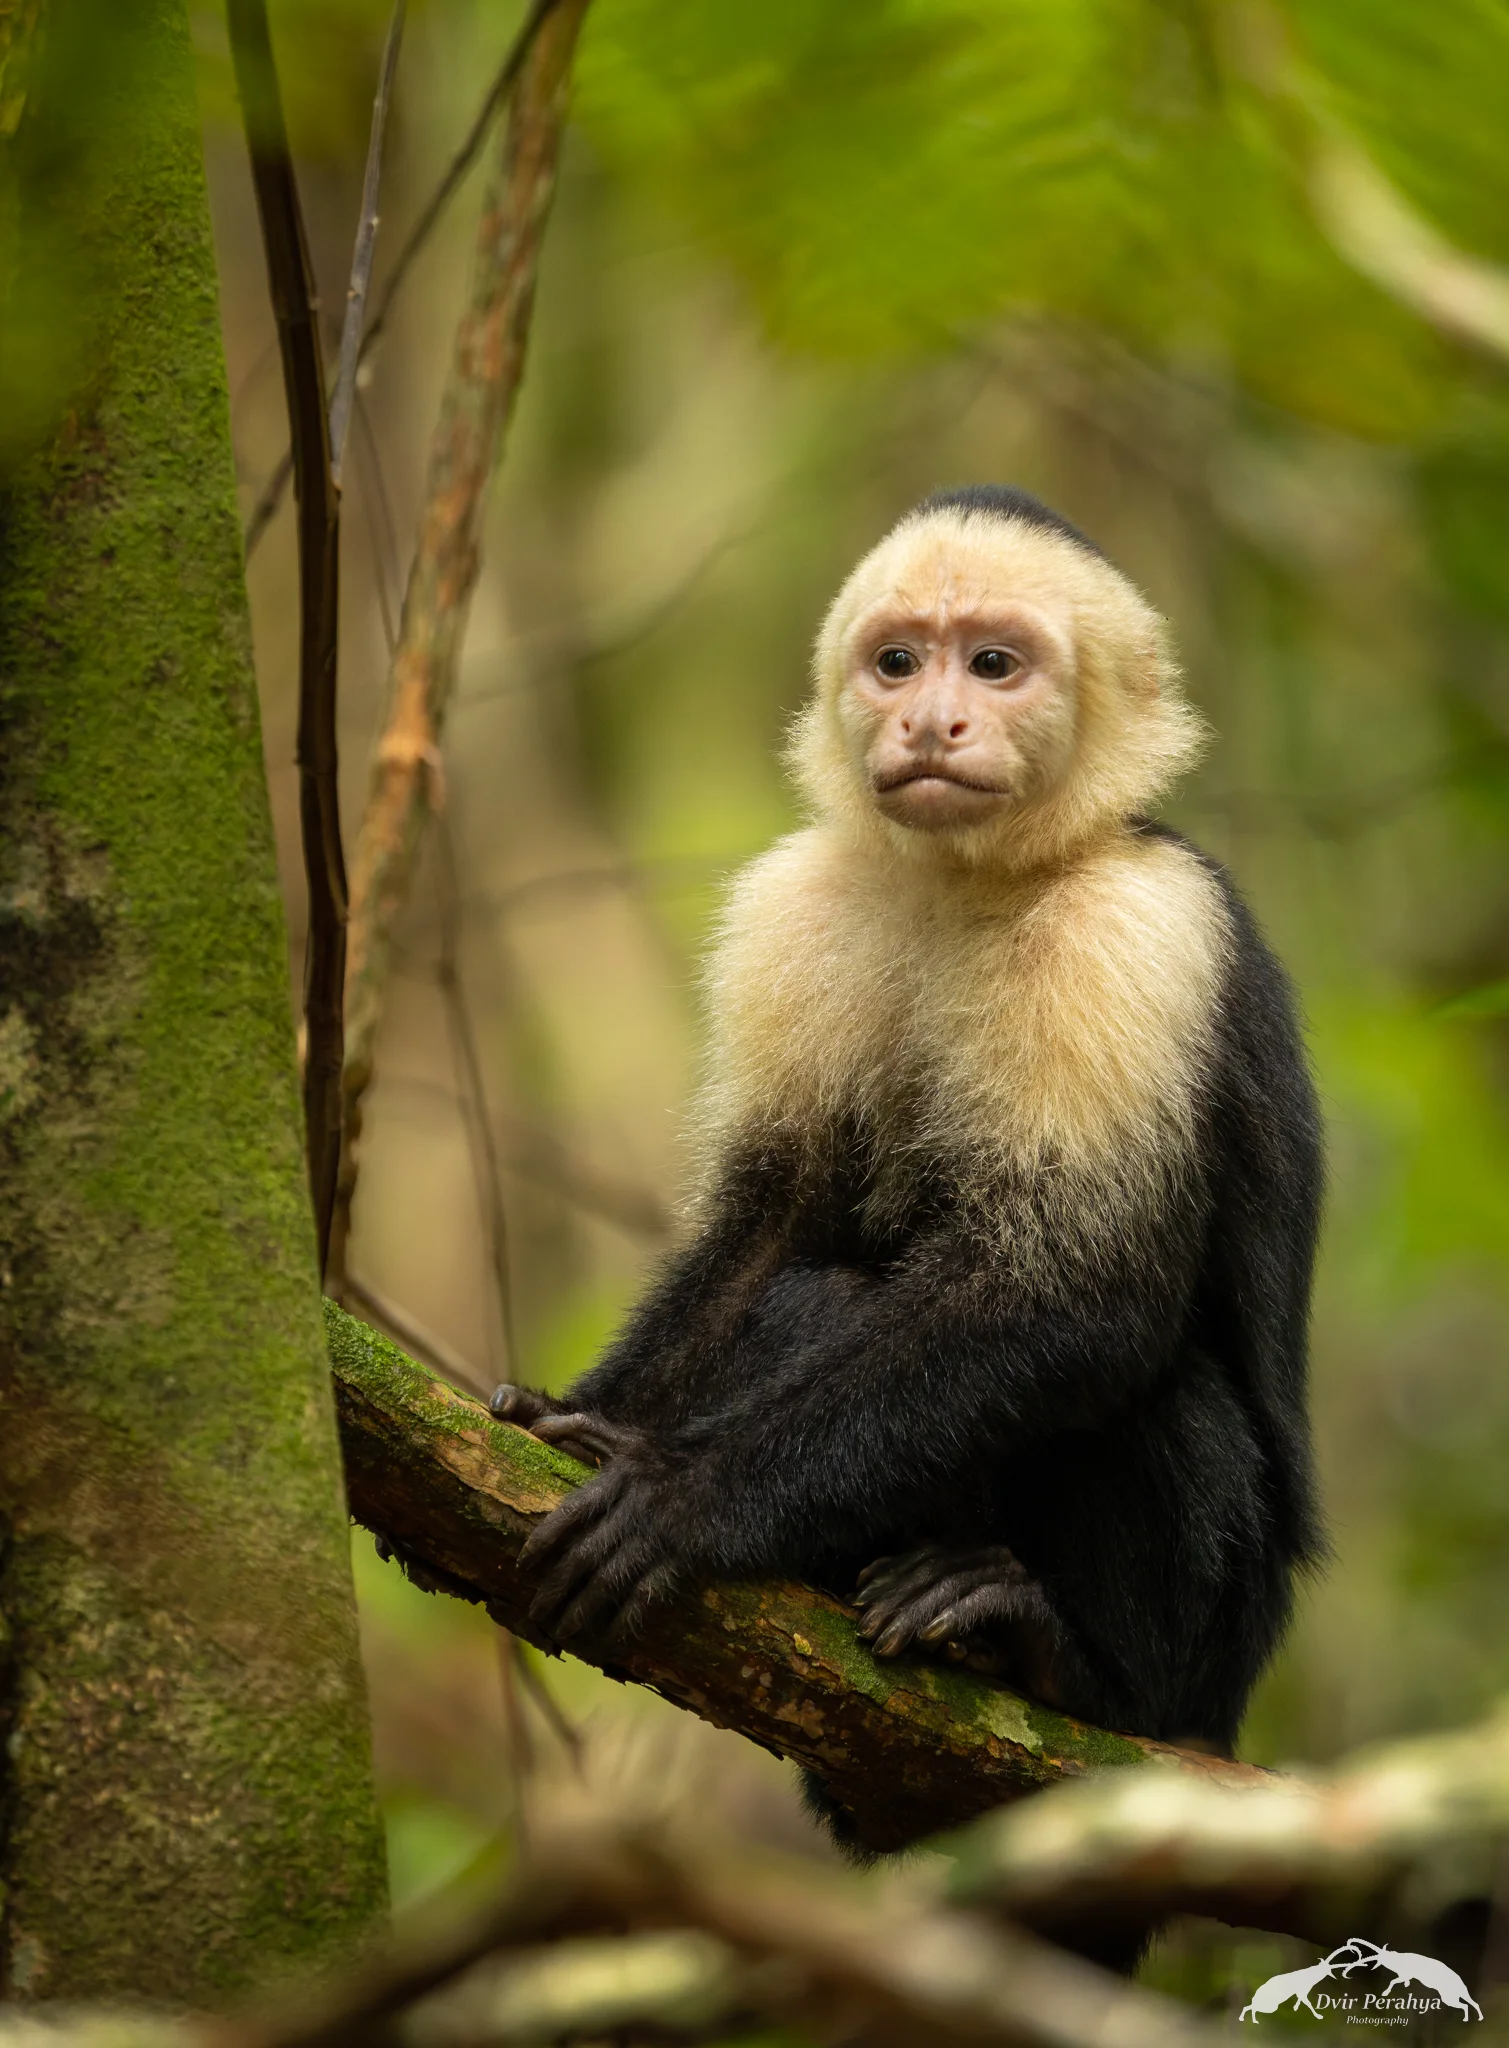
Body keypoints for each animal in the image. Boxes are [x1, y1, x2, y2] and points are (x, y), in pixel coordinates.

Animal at [493, 483, 1324, 1832]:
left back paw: (1061, 1659)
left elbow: (1071, 1291)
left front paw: (689, 1498)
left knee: (1159, 1398)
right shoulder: (794, 908)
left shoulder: (1136, 932)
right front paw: (582, 1413)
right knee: (805, 1294)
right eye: (897, 662)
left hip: (1224, 1651)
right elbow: (765, 1228)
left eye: (993, 664)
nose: (933, 719)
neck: (969, 882)